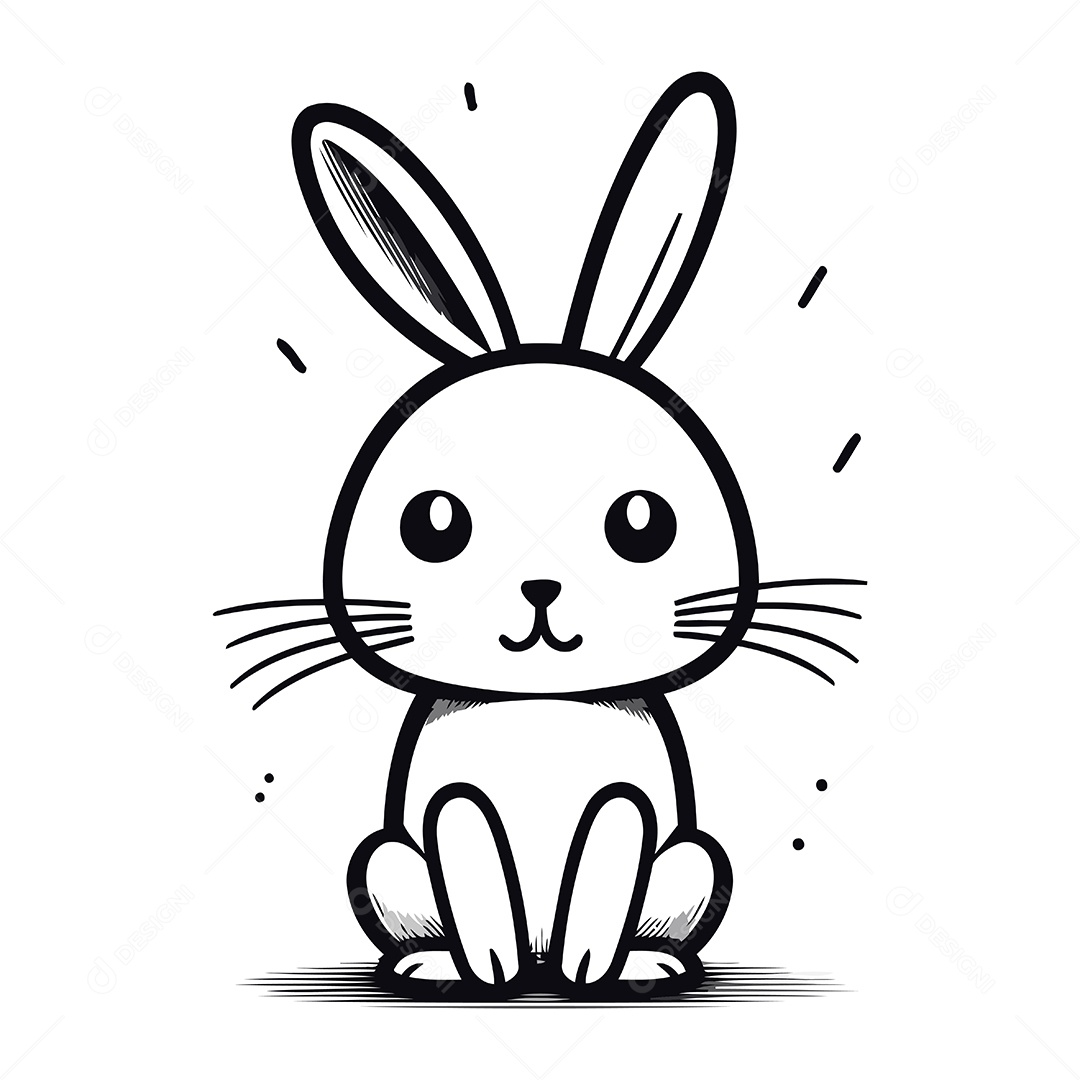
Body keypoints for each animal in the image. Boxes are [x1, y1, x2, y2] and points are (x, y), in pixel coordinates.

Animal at [215, 72, 865, 1000]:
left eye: (643, 522)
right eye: (433, 523)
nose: (540, 590)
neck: (541, 707)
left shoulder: (634, 814)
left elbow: (616, 828)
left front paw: (593, 968)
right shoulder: (445, 815)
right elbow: (463, 828)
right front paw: (485, 968)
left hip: (694, 864)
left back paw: (641, 963)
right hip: (385, 866)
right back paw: (438, 964)